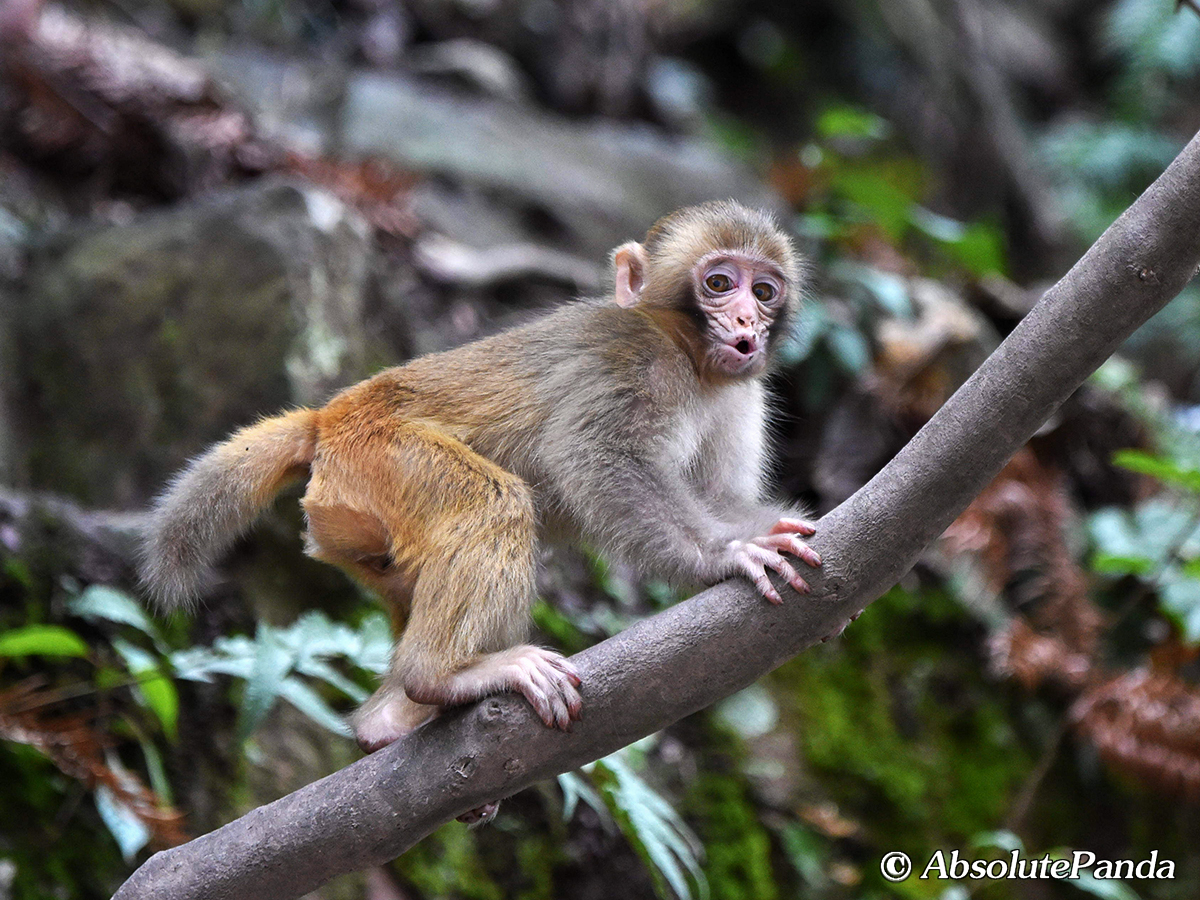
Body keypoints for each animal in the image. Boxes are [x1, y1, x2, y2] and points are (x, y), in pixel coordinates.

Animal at [140, 200, 820, 778]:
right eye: (719, 283)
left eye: (764, 291)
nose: (746, 320)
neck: (688, 360)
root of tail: (328, 418)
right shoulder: (629, 363)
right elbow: (600, 462)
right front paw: (721, 557)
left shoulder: (739, 395)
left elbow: (719, 498)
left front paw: (762, 528)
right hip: (385, 455)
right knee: (494, 504)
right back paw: (440, 678)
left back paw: (389, 720)